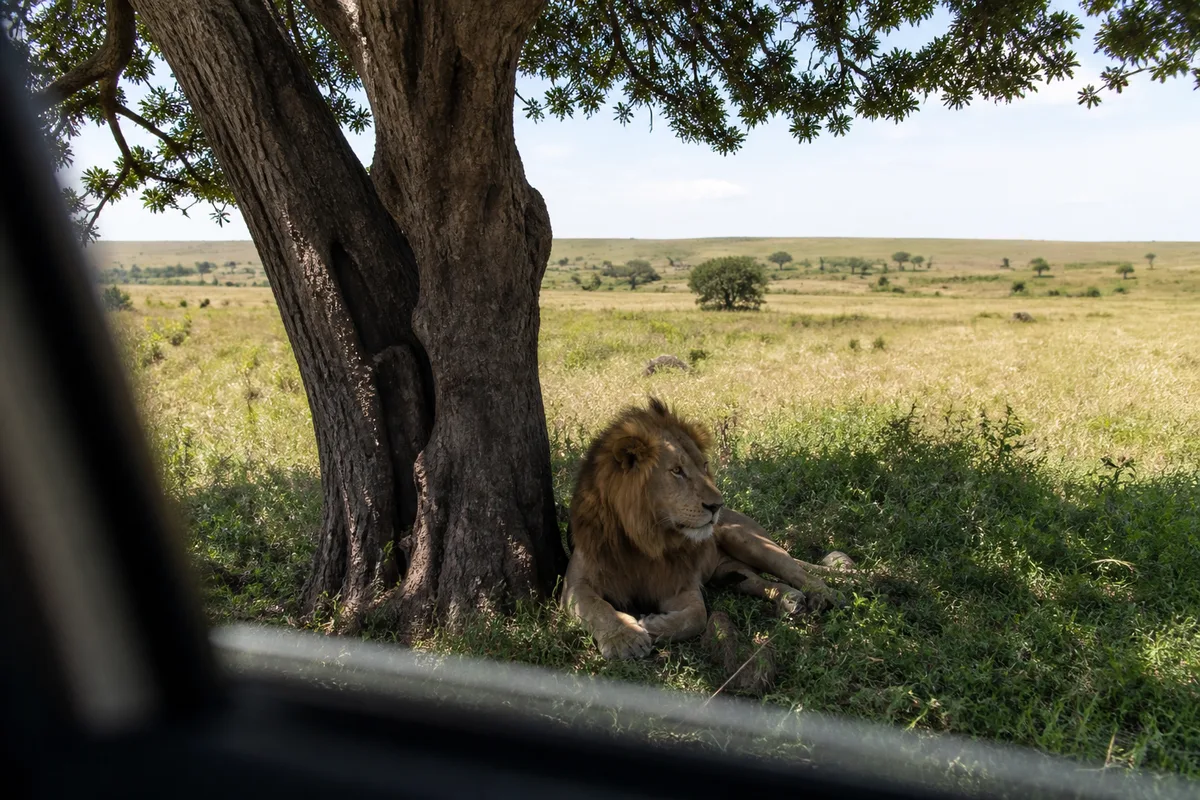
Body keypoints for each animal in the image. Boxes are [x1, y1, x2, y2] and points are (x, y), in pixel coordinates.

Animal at [562, 398, 853, 659]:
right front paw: (624, 639)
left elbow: (696, 616)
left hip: (748, 539)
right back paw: (791, 600)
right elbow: (597, 607)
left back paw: (826, 597)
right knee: (758, 581)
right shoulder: (575, 585)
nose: (717, 506)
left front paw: (651, 625)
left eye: (704, 466)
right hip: (729, 571)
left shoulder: (679, 584)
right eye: (677, 471)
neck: (645, 539)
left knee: (801, 574)